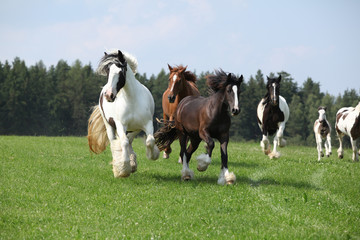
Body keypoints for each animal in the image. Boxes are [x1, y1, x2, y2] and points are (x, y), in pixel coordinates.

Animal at [87, 49, 159, 177]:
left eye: (120, 72)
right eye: (108, 72)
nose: (108, 95)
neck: (132, 100)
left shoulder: (147, 124)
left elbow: (150, 141)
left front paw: (153, 155)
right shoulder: (121, 124)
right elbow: (123, 143)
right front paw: (123, 169)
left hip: (134, 129)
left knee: (129, 140)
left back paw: (133, 164)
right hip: (109, 126)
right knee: (115, 142)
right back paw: (120, 165)